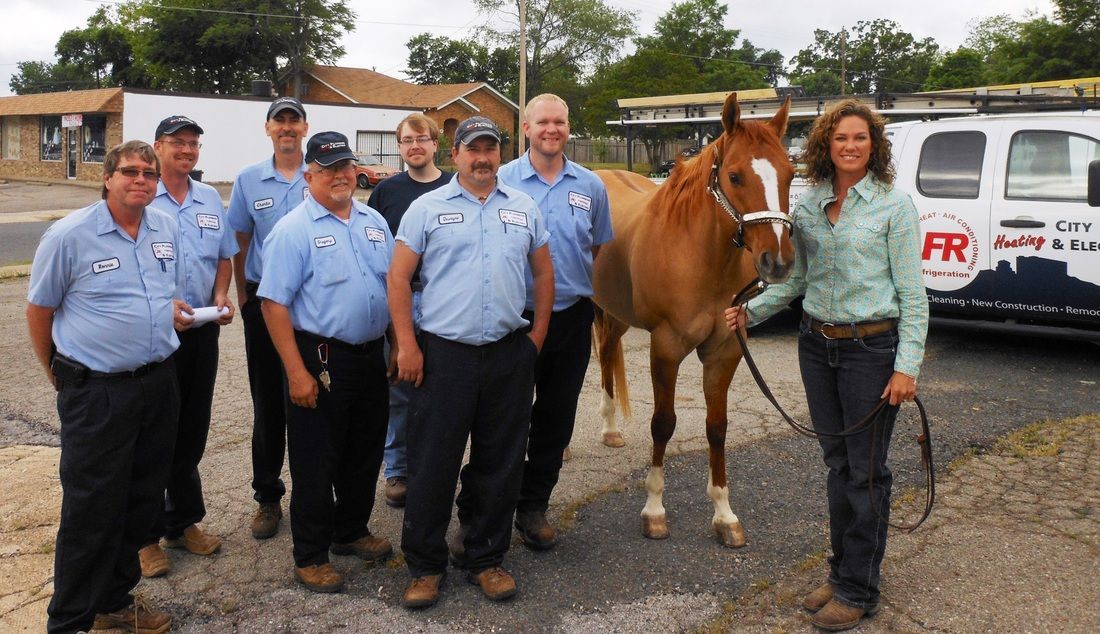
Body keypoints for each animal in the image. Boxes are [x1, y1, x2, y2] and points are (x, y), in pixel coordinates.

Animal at [589, 91, 796, 548]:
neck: (702, 256)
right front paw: (654, 511)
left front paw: (724, 515)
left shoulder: (725, 350)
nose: (777, 262)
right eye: (735, 177)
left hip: (616, 311)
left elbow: (717, 426)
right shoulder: (665, 347)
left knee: (609, 351)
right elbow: (663, 424)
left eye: (791, 175)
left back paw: (610, 429)